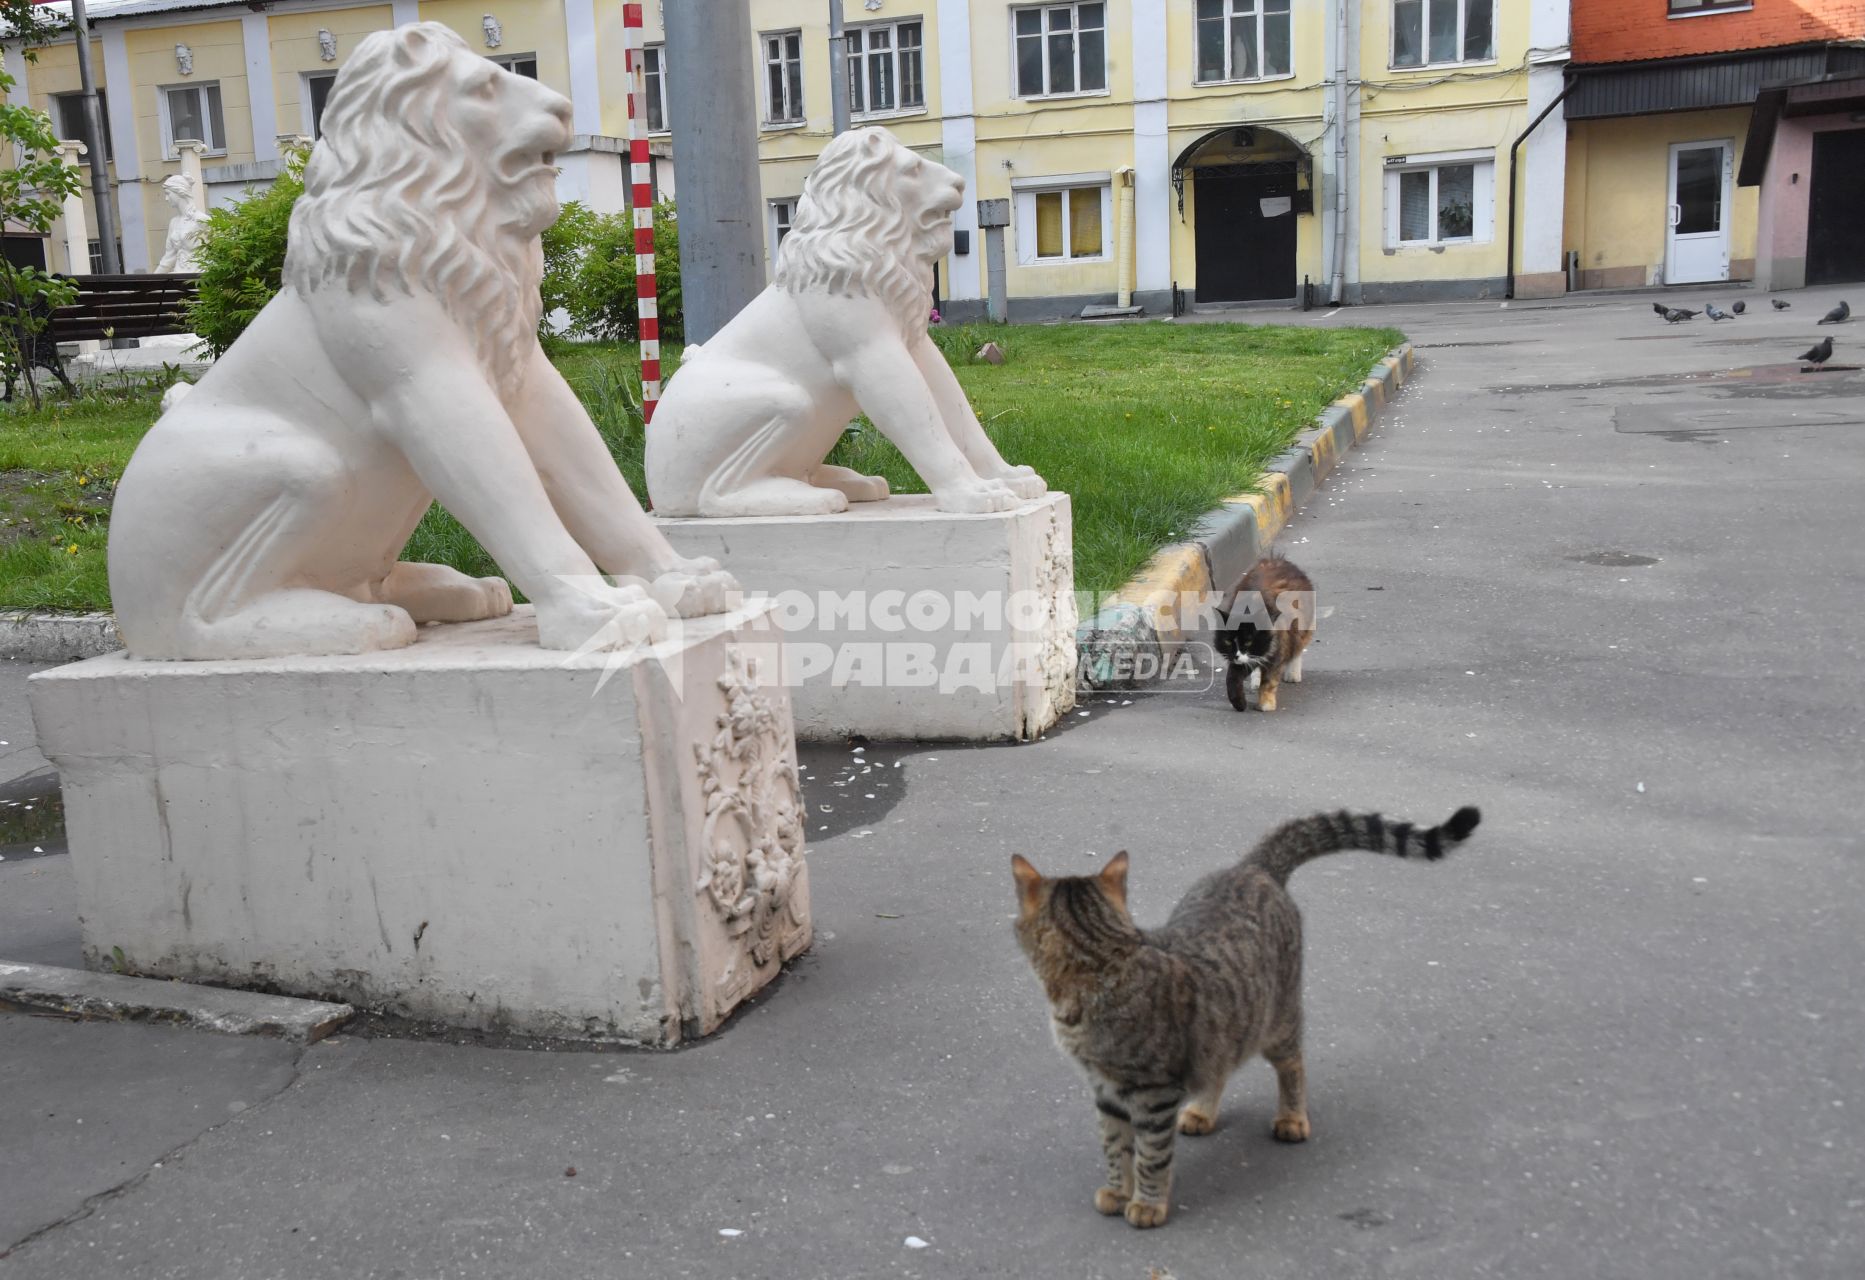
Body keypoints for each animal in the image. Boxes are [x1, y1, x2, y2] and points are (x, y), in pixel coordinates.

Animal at [1014, 802, 1477, 1231]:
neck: (1101, 959)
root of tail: (1252, 867)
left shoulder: (1152, 1092)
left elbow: (1150, 1154)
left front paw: (1146, 1202)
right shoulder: (1105, 1089)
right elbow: (1114, 1145)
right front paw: (1116, 1188)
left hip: (1278, 1020)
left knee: (1293, 1065)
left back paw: (1292, 1117)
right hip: (1224, 1027)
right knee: (1218, 1066)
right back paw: (1203, 1112)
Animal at [1215, 556, 1320, 716]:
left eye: (1248, 642)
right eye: (1228, 642)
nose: (1236, 655)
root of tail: (1277, 559)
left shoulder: (1277, 650)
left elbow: (1269, 681)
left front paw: (1265, 704)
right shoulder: (1242, 661)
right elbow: (1232, 679)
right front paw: (1239, 703)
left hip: (1303, 628)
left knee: (1297, 649)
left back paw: (1292, 674)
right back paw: (1256, 680)